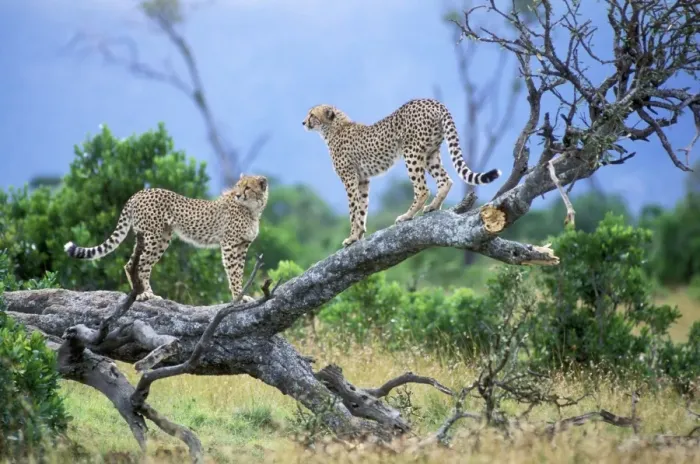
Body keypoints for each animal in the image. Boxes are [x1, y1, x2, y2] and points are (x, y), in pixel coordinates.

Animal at [63, 173, 269, 303]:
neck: (252, 209)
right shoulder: (230, 245)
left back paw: (145, 294)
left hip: (159, 238)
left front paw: (241, 295)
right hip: (152, 236)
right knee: (137, 264)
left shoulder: (242, 246)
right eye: (238, 186)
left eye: (247, 187)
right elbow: (234, 272)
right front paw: (238, 297)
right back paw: (144, 295)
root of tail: (140, 192)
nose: (238, 194)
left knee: (136, 264)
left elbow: (239, 271)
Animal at [303, 98, 502, 247]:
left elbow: (353, 209)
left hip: (411, 153)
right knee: (445, 180)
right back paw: (433, 207)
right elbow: (362, 208)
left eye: (312, 114)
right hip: (430, 153)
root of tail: (432, 101)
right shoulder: (363, 179)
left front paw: (352, 237)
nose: (303, 122)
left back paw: (407, 216)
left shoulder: (349, 178)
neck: (333, 128)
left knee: (422, 189)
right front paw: (359, 235)